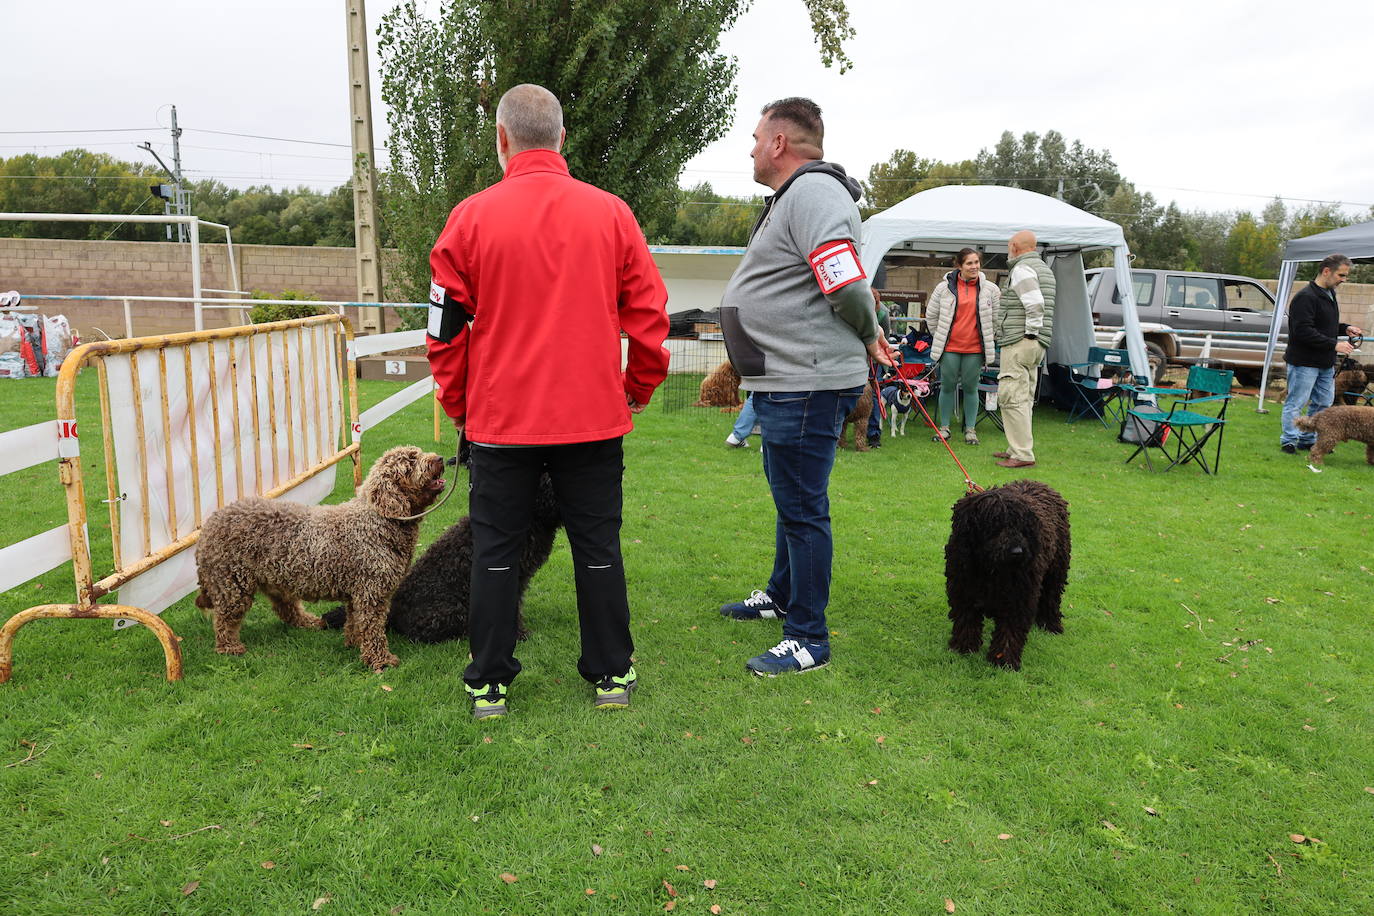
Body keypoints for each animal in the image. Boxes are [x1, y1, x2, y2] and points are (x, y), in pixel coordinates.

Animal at [195, 444, 445, 670]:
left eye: (418, 453)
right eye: (411, 461)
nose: (440, 458)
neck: (377, 520)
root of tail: (210, 524)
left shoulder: (356, 594)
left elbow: (355, 622)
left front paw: (354, 644)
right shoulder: (371, 592)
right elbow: (372, 629)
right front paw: (380, 660)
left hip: (275, 579)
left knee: (286, 609)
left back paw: (311, 622)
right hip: (233, 583)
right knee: (224, 619)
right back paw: (229, 647)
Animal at [945, 483, 1071, 670]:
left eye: (1021, 527)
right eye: (996, 524)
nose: (1017, 552)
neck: (990, 569)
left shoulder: (1018, 598)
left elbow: (1009, 631)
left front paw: (1004, 660)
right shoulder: (964, 590)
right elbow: (966, 621)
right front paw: (964, 648)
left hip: (1055, 571)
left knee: (1051, 598)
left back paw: (1051, 625)